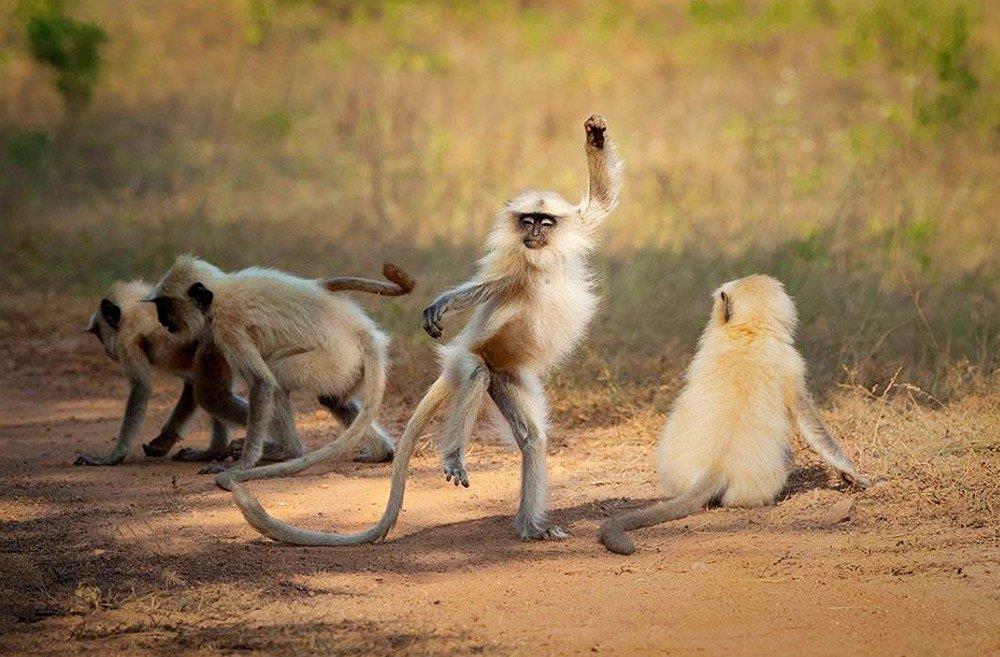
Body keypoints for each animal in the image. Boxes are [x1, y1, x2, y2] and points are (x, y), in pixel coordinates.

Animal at [230, 114, 624, 544]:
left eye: (545, 222)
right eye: (527, 221)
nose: (533, 233)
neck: (541, 258)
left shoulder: (567, 232)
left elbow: (601, 203)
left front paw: (596, 135)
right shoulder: (514, 267)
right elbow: (487, 288)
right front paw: (443, 305)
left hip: (508, 377)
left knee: (532, 440)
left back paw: (530, 528)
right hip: (474, 359)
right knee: (475, 372)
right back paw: (455, 456)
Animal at [596, 274, 872, 556]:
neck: (749, 332)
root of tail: (717, 466)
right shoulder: (791, 364)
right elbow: (813, 426)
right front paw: (854, 474)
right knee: (786, 457)